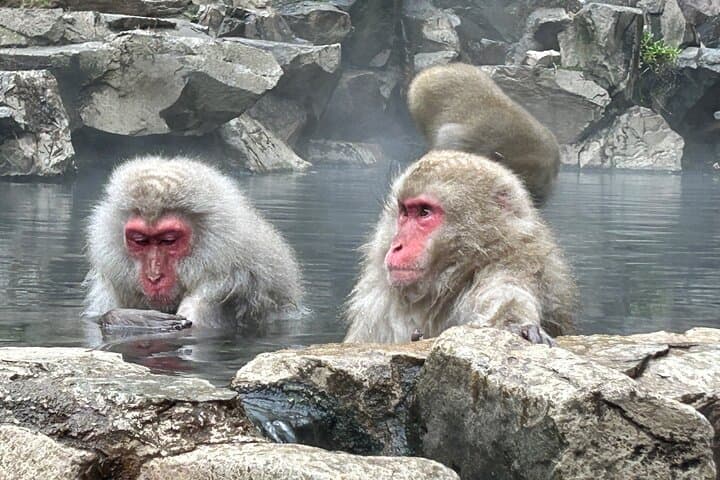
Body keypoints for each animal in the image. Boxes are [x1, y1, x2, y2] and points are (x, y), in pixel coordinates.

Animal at [344, 150, 576, 345]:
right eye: (405, 211)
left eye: (424, 212)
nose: (396, 246)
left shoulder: (515, 263)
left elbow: (508, 294)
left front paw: (515, 325)